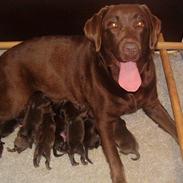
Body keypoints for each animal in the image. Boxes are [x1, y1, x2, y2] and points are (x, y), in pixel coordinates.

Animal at [0, 3, 178, 183]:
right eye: (113, 25)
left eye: (140, 24)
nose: (131, 49)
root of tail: (3, 56)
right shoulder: (103, 121)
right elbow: (115, 158)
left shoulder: (153, 105)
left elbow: (175, 128)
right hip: (15, 101)